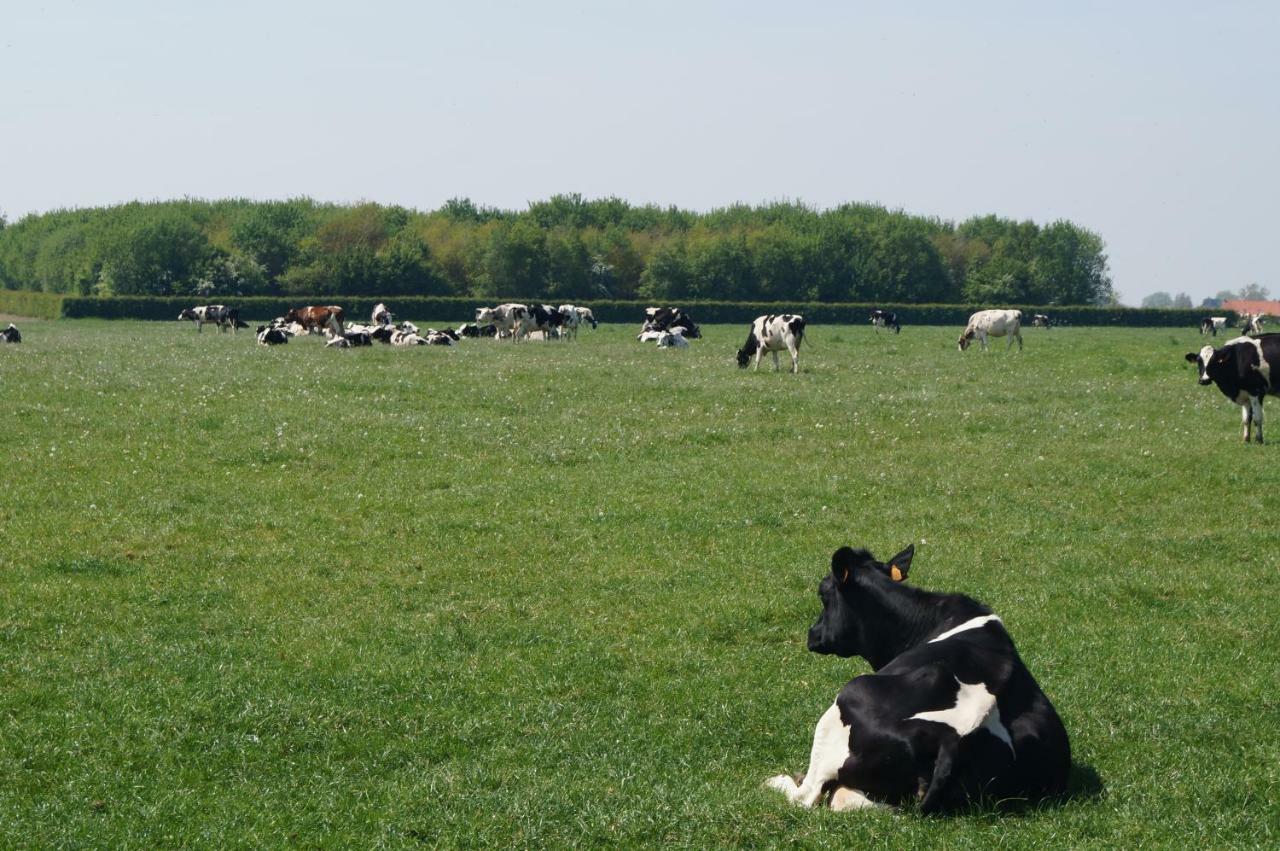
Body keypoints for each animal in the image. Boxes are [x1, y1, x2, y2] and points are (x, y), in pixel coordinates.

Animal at [762, 540, 1075, 813]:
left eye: (823, 593)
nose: (812, 634)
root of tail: (954, 738)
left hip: (845, 701)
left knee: (808, 795)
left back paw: (775, 782)